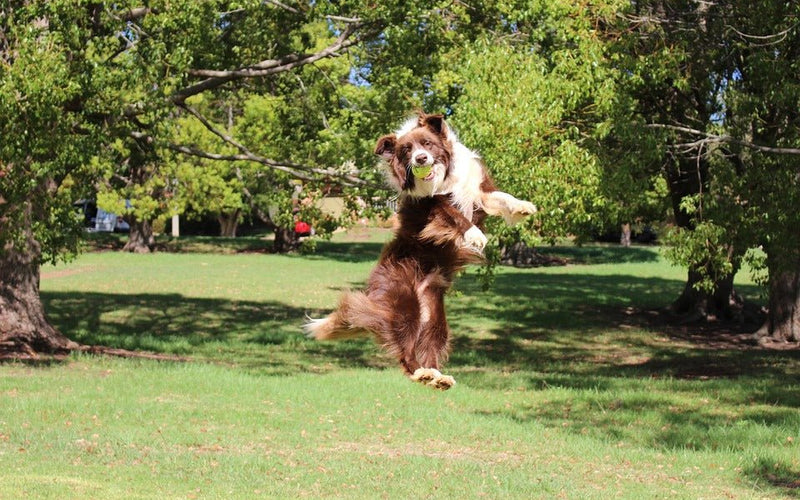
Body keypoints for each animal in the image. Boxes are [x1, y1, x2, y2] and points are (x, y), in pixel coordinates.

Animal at [304, 193, 482, 388]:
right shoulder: (421, 208)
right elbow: (449, 210)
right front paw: (473, 231)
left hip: (433, 314)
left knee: (431, 343)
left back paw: (436, 376)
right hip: (405, 306)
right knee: (406, 350)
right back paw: (422, 373)